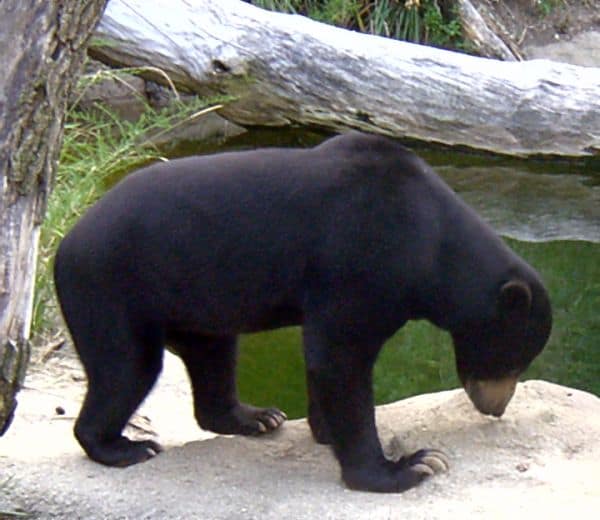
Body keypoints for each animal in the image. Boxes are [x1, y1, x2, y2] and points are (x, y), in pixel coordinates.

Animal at [54, 132, 552, 494]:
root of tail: (65, 242)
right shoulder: (361, 256)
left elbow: (323, 358)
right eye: (510, 360)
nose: (496, 407)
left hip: (195, 299)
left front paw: (326, 430)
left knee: (213, 356)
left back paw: (255, 417)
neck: (430, 245)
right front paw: (410, 466)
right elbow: (339, 356)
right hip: (111, 288)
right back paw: (125, 448)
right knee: (126, 367)